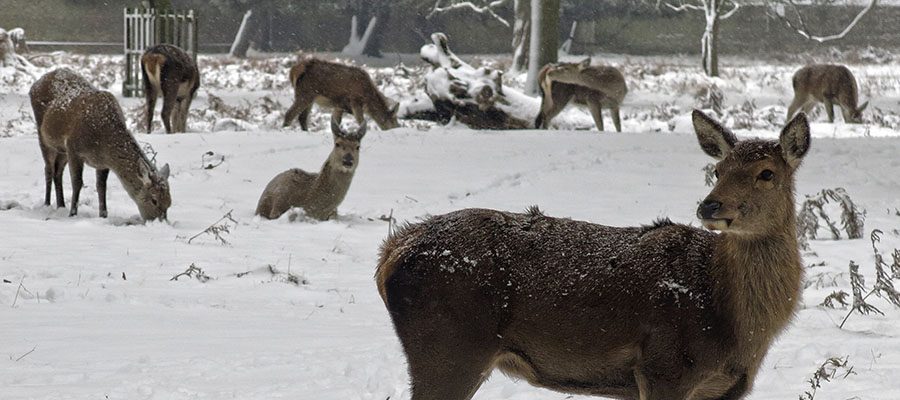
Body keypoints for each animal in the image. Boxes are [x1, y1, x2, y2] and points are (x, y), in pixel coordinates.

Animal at [30, 68, 172, 221]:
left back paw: (61, 205)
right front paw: (73, 214)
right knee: (48, 169)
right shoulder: (74, 148)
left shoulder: (102, 162)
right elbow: (77, 183)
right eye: (154, 200)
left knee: (58, 171)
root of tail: (37, 82)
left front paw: (103, 215)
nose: (161, 222)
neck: (102, 140)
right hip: (43, 136)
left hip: (62, 149)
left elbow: (101, 186)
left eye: (169, 203)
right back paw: (47, 204)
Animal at [376, 109, 810, 400]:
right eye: (718, 170)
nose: (710, 206)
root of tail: (391, 253)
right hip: (450, 346)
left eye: (767, 173)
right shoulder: (665, 367)